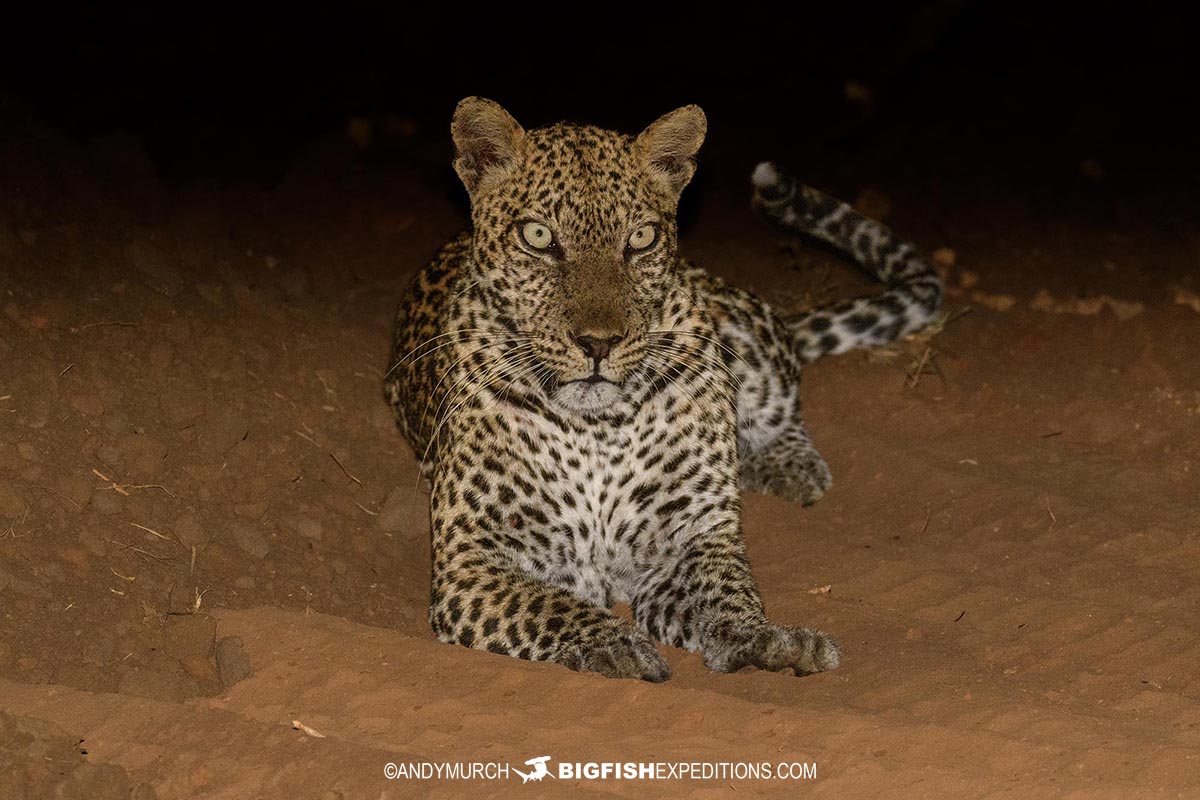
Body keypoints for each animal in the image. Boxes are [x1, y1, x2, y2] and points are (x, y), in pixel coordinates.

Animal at [379, 95, 940, 681]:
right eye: (538, 237)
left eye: (640, 239)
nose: (598, 343)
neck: (597, 427)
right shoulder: (473, 558)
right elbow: (547, 604)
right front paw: (616, 644)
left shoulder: (690, 537)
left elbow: (726, 594)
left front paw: (767, 638)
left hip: (740, 335)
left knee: (783, 398)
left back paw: (788, 465)